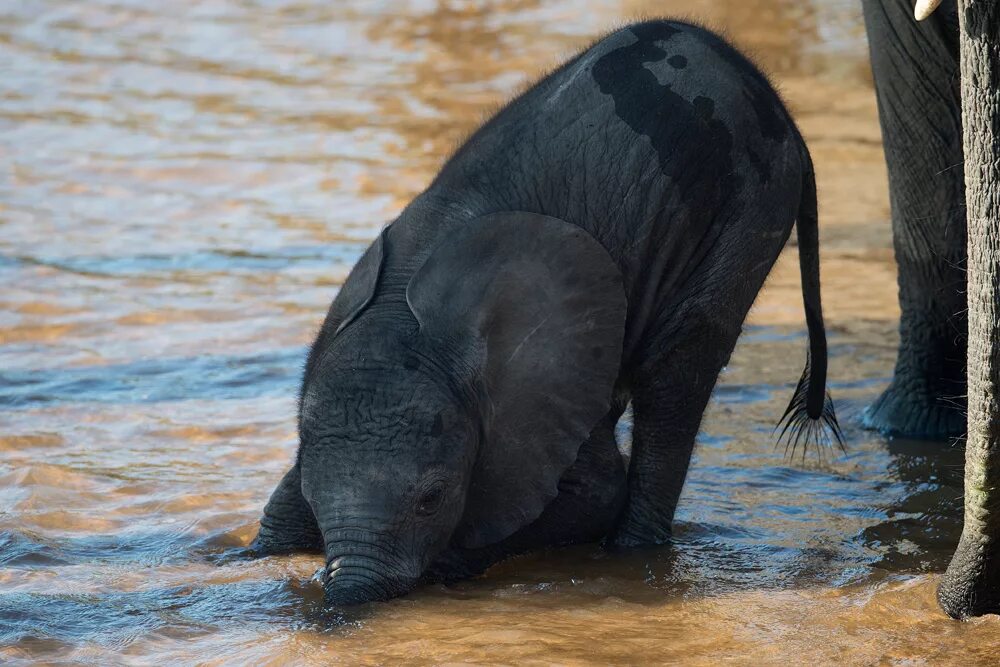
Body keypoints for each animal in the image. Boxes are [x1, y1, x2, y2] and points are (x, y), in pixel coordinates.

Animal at [250, 19, 836, 604]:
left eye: (431, 500)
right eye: (315, 499)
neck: (406, 322)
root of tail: (778, 106)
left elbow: (594, 494)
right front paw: (254, 553)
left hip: (749, 207)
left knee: (676, 373)